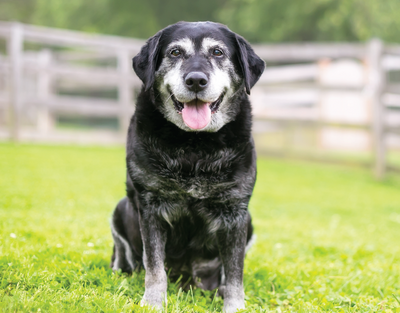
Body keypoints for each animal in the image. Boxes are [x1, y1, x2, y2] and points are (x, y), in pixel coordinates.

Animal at [110, 20, 266, 310]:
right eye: (175, 52)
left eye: (217, 52)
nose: (195, 80)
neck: (195, 145)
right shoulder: (151, 206)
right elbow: (154, 267)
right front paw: (153, 303)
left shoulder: (235, 211)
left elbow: (235, 272)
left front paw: (234, 306)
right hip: (120, 209)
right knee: (124, 252)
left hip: (248, 222)